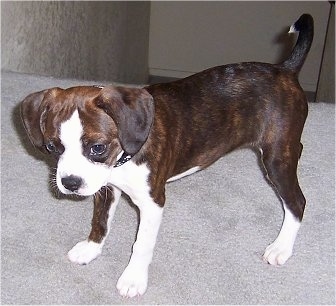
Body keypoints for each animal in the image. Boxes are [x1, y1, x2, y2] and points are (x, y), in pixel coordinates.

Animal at [22, 14, 314, 298]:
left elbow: (141, 245)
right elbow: (100, 221)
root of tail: (284, 70)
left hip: (276, 158)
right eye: (52, 147)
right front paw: (91, 249)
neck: (122, 160)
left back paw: (281, 247)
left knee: (297, 202)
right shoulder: (106, 188)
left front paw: (133, 279)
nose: (70, 183)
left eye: (97, 148)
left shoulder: (152, 203)